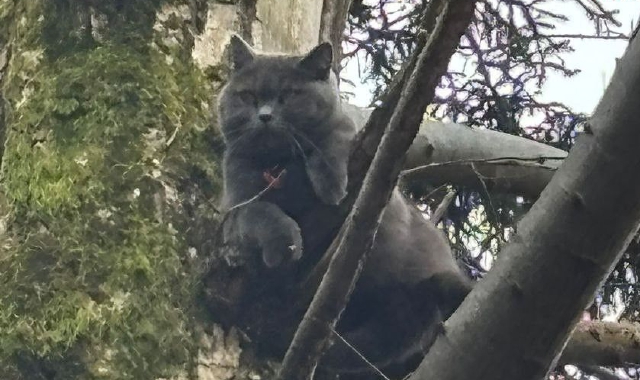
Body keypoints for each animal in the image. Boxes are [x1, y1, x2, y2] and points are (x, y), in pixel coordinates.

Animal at [216, 35, 470, 378]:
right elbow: (261, 213)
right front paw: (284, 243)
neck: (279, 166)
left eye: (289, 95)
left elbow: (336, 140)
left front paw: (332, 185)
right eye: (248, 96)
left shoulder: (363, 153)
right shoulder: (237, 204)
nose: (265, 115)